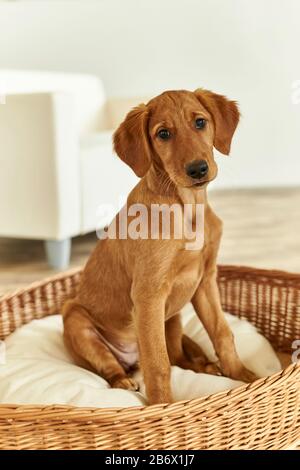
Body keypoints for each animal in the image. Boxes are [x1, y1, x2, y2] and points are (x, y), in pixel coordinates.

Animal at [62, 90, 256, 406]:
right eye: (163, 133)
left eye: (200, 122)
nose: (198, 169)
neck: (187, 207)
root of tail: (130, 359)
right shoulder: (148, 294)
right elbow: (157, 363)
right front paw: (161, 406)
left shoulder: (205, 282)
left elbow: (221, 332)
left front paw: (243, 375)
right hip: (75, 317)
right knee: (115, 366)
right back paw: (123, 380)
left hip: (172, 319)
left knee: (179, 356)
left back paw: (206, 366)